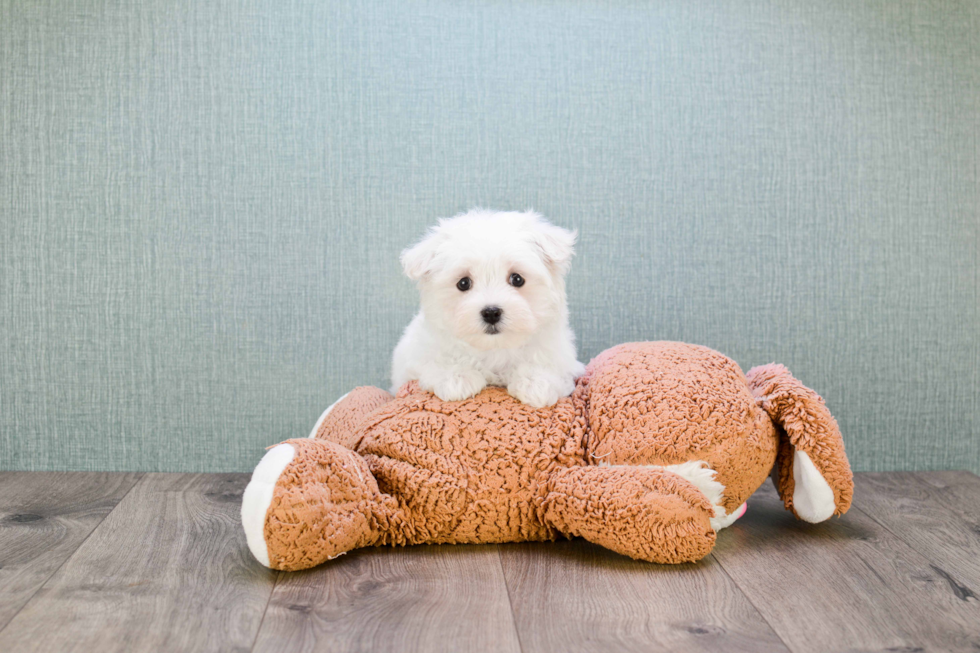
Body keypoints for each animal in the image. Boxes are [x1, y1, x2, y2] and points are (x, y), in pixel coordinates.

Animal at [394, 208, 584, 408]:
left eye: (517, 279)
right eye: (463, 283)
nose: (491, 313)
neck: (494, 349)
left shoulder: (561, 357)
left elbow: (548, 364)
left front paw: (537, 383)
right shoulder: (417, 356)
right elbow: (436, 361)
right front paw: (457, 378)